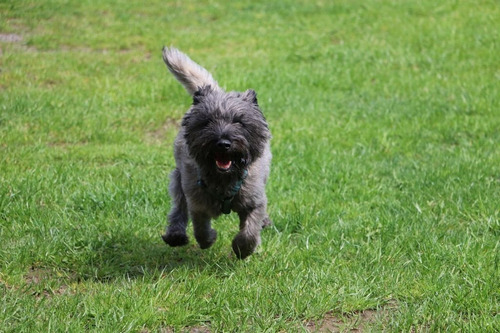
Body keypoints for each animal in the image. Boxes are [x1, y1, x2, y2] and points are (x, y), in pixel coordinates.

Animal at [161, 46, 272, 260]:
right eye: (207, 121)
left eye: (239, 121)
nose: (223, 143)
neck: (224, 180)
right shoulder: (197, 202)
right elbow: (200, 229)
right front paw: (209, 239)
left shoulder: (254, 200)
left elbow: (249, 231)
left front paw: (242, 249)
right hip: (179, 179)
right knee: (178, 207)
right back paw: (175, 235)